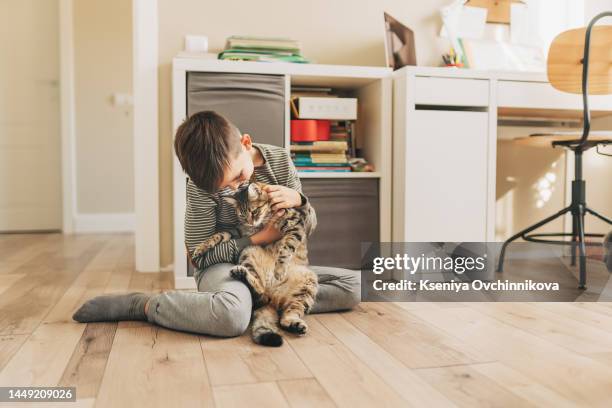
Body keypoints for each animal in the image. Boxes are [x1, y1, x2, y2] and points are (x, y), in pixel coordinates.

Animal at [194, 183, 318, 346]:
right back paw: (242, 273)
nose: (251, 222)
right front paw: (201, 247)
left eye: (254, 211)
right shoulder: (240, 230)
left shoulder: (295, 225)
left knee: (287, 313)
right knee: (260, 295)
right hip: (249, 250)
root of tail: (274, 296)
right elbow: (220, 234)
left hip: (308, 284)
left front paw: (279, 270)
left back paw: (296, 325)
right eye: (242, 215)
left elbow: (286, 248)